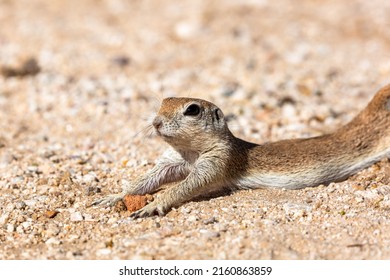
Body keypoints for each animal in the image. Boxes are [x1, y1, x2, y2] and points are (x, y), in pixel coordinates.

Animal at [92, 84, 390, 218]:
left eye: (192, 110)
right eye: (164, 101)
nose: (155, 122)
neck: (189, 151)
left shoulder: (217, 161)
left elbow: (186, 186)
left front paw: (152, 205)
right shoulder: (171, 162)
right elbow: (146, 180)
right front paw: (112, 196)